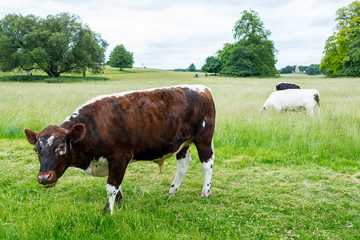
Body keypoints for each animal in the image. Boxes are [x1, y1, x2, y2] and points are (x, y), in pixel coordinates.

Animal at [26, 84, 217, 214]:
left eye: (61, 146)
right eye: (36, 150)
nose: (44, 177)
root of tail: (202, 89)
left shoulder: (120, 156)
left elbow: (111, 187)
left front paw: (107, 213)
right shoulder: (112, 162)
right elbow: (117, 185)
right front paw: (119, 204)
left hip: (203, 138)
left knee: (207, 163)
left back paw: (205, 192)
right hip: (183, 143)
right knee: (183, 164)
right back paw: (172, 191)